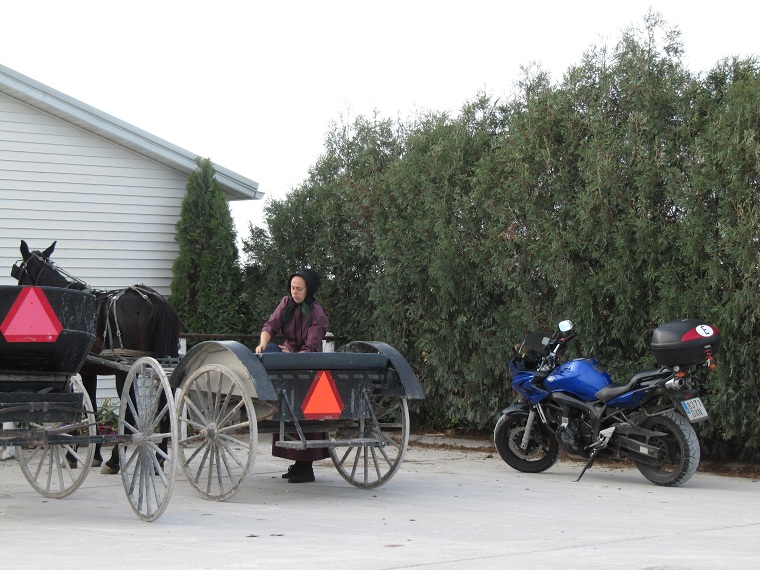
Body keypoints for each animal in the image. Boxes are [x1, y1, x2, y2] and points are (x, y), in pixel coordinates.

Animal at [12, 239, 181, 470]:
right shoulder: (90, 371)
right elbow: (90, 405)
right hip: (162, 361)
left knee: (130, 410)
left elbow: (84, 406)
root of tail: (156, 300)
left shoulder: (80, 371)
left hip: (126, 369)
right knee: (164, 402)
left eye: (20, 275)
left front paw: (73, 454)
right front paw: (94, 454)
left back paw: (117, 459)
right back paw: (160, 456)